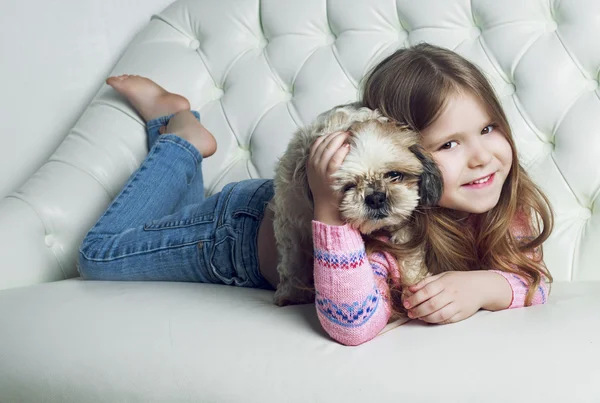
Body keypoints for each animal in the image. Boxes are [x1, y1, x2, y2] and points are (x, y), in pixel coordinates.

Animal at [270, 104, 442, 306]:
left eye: (394, 175)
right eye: (349, 186)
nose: (375, 198)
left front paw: (415, 279)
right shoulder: (290, 219)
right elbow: (292, 259)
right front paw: (291, 291)